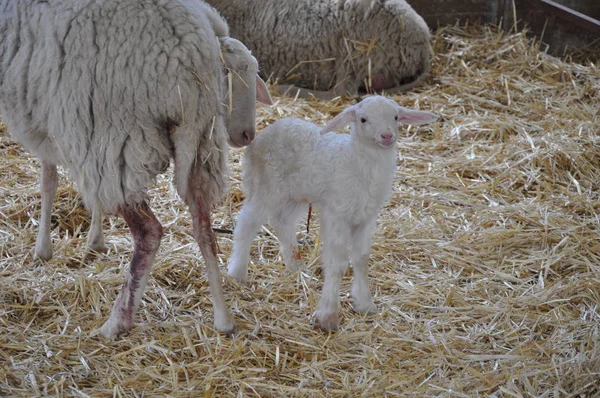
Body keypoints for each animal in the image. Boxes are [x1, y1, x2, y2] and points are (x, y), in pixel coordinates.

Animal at [0, 0, 270, 338]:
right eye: (228, 74)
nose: (248, 135)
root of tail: (189, 43)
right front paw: (92, 240)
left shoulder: (51, 118)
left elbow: (48, 180)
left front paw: (44, 249)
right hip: (196, 142)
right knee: (204, 226)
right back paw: (224, 319)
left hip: (116, 130)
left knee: (149, 231)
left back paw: (117, 321)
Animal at [227, 95, 438, 332]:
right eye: (363, 119)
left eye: (395, 117)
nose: (387, 136)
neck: (359, 162)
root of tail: (263, 134)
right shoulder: (337, 214)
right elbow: (337, 265)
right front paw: (328, 315)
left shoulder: (367, 216)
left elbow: (361, 258)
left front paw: (364, 303)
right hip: (266, 186)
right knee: (246, 224)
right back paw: (237, 272)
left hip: (297, 194)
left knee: (283, 222)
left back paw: (296, 266)